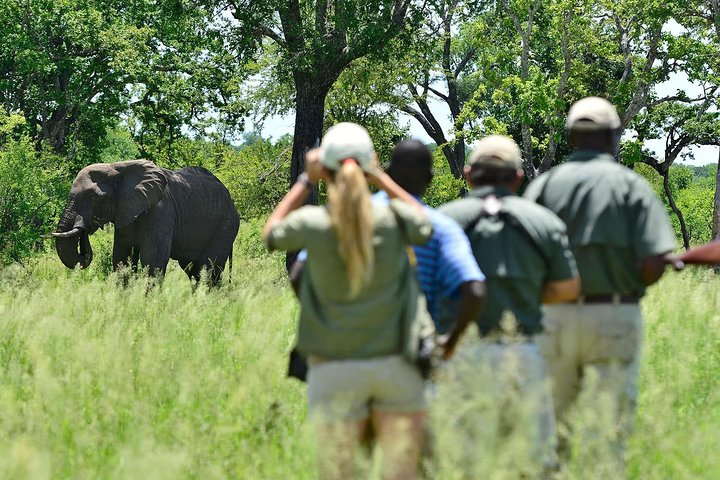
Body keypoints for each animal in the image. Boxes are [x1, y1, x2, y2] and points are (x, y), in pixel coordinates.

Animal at [53, 159, 240, 284]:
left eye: (93, 197)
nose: (85, 227)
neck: (117, 168)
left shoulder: (161, 212)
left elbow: (152, 260)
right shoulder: (125, 213)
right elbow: (122, 258)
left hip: (225, 227)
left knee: (209, 269)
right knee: (194, 271)